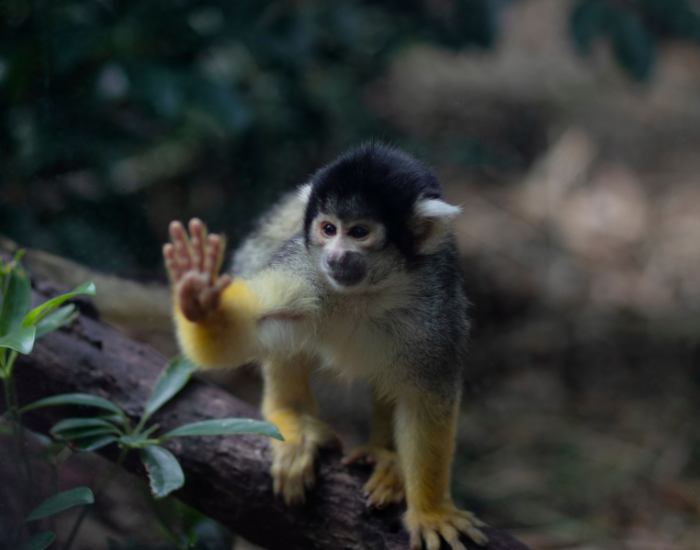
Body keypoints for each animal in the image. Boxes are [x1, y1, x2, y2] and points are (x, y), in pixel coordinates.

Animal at [162, 143, 488, 550]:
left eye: (359, 232)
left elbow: (426, 399)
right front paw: (199, 298)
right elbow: (250, 329)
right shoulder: (306, 273)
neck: (367, 292)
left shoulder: (436, 308)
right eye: (329, 229)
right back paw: (292, 417)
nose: (335, 255)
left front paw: (430, 511)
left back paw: (386, 458)